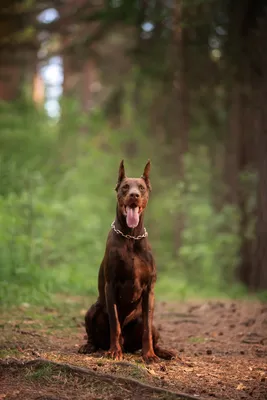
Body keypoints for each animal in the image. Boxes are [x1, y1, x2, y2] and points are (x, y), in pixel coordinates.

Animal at [79, 159, 176, 362]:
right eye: (125, 187)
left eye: (141, 187)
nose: (134, 195)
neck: (131, 237)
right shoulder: (111, 285)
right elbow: (115, 324)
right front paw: (114, 351)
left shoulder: (149, 290)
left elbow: (147, 329)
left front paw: (149, 355)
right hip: (92, 310)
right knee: (93, 333)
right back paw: (91, 346)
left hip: (151, 326)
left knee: (151, 331)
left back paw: (163, 351)